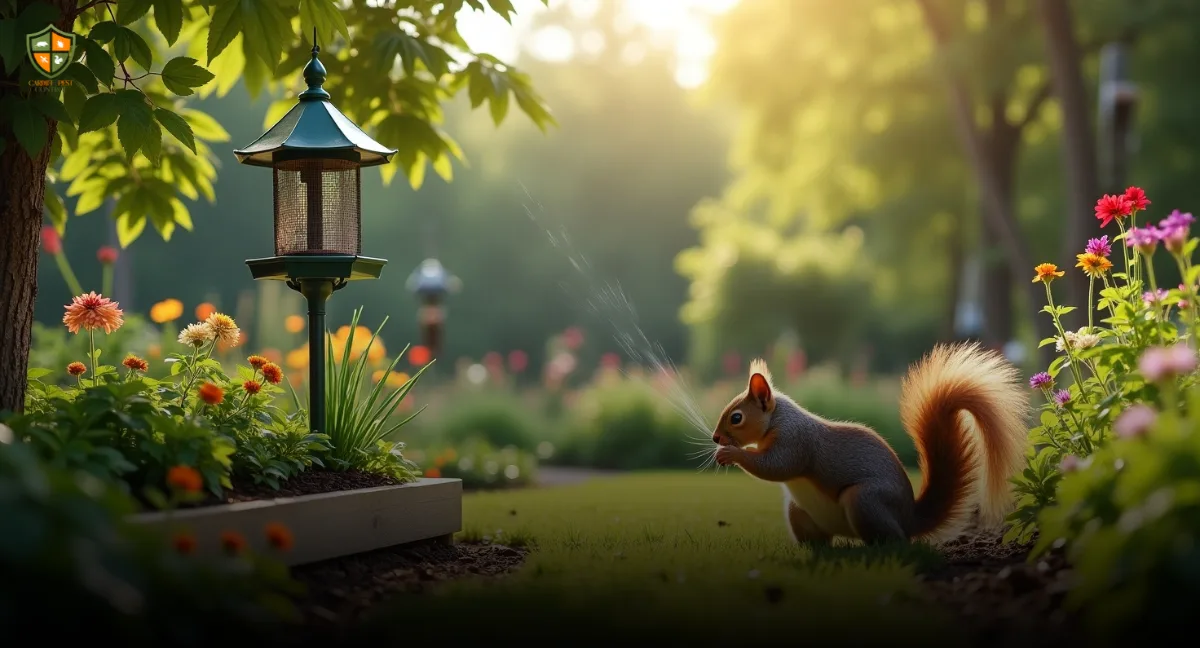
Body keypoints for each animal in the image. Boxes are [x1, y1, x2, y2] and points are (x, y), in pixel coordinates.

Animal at [711, 342, 1030, 545]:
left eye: (736, 417)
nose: (715, 438)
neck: (777, 419)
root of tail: (910, 518)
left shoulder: (795, 440)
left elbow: (777, 466)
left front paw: (731, 453)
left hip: (864, 500)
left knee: (897, 544)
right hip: (799, 511)